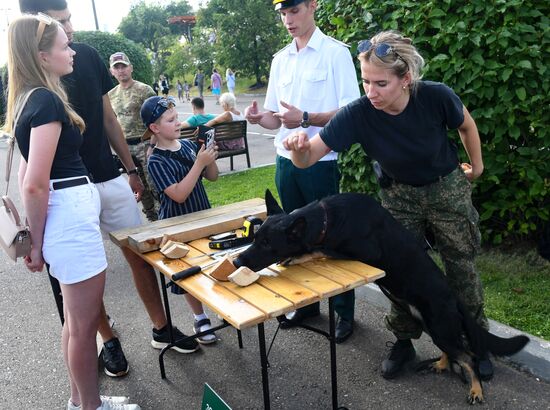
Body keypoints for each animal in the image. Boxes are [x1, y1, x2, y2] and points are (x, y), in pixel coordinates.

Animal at [236, 191, 532, 402]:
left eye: (267, 244)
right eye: (256, 237)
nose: (238, 260)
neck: (326, 220)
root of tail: (454, 297)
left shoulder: (365, 253)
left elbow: (322, 249)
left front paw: (297, 256)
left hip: (440, 326)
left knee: (469, 356)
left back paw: (476, 390)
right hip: (432, 326)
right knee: (454, 351)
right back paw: (441, 364)